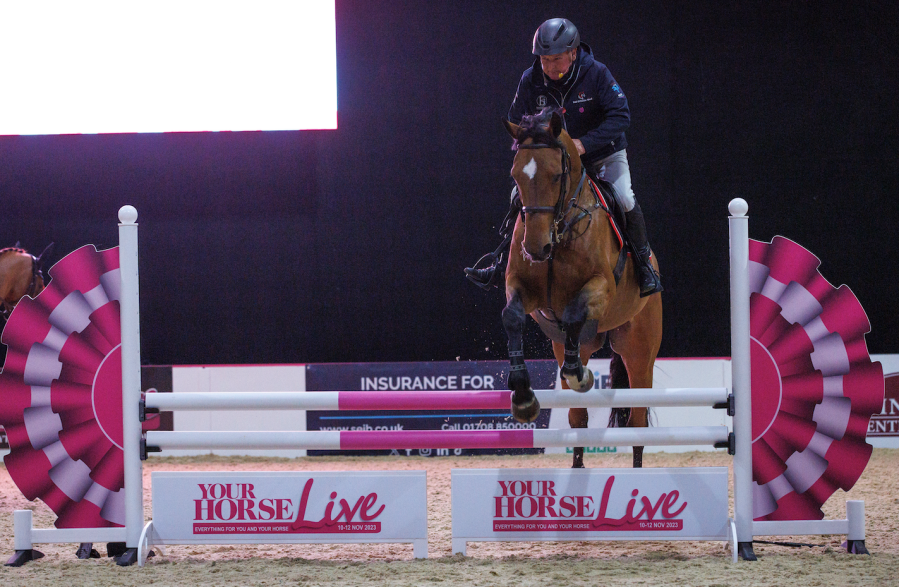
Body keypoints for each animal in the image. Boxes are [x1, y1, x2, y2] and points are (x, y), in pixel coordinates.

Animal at [502, 109, 664, 468]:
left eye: (555, 176)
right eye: (516, 177)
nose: (535, 249)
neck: (560, 230)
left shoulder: (601, 287)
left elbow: (576, 309)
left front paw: (581, 375)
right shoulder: (522, 289)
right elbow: (513, 318)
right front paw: (522, 397)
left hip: (639, 348)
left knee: (638, 420)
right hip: (577, 344)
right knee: (578, 418)